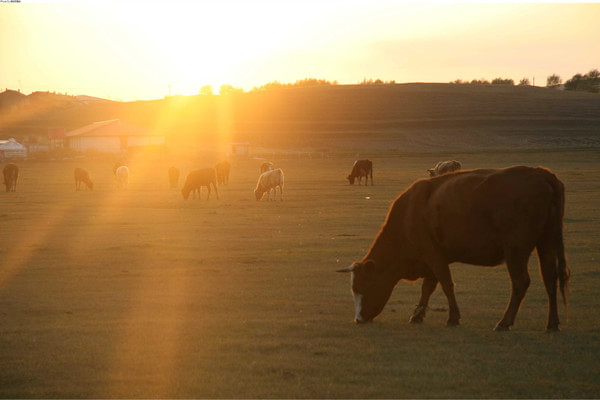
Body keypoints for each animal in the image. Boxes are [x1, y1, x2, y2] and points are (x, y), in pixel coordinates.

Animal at [340, 166, 568, 332]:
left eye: (361, 287)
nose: (359, 319)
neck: (407, 215)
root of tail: (542, 174)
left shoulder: (433, 255)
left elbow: (446, 284)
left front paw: (453, 317)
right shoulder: (433, 258)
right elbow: (428, 287)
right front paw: (417, 315)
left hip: (516, 251)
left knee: (521, 283)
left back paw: (504, 322)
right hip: (547, 243)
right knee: (550, 279)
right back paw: (552, 323)